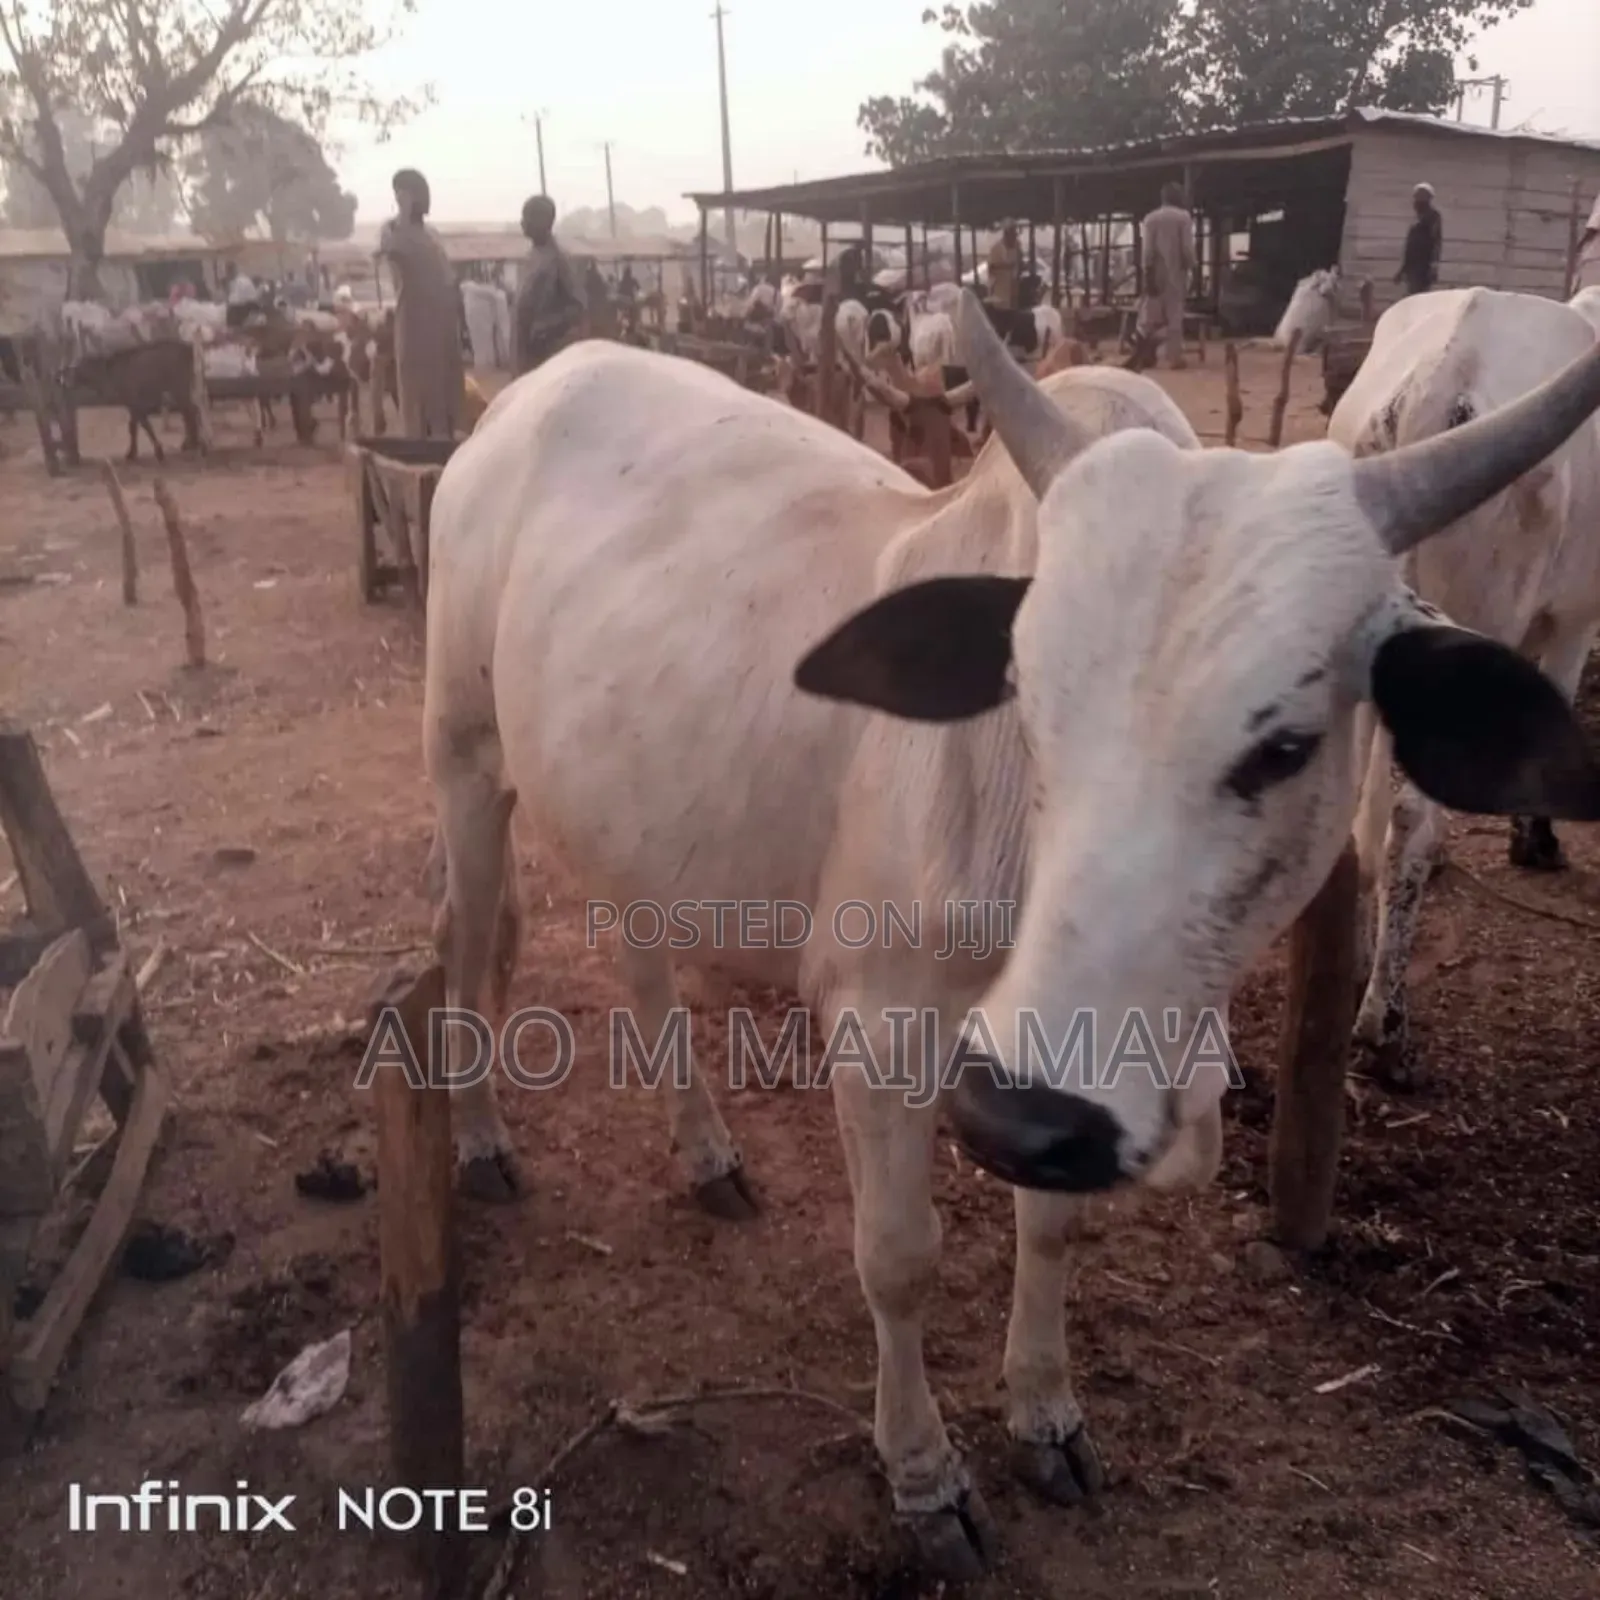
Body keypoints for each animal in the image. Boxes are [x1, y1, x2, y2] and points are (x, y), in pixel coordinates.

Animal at [70, 338, 205, 461]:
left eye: (80, 366)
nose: (69, 379)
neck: (111, 371)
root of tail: (189, 349)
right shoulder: (132, 405)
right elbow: (134, 427)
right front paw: (133, 452)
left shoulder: (133, 402)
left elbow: (142, 425)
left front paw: (156, 451)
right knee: (190, 412)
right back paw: (190, 443)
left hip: (179, 388)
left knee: (190, 412)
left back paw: (194, 443)